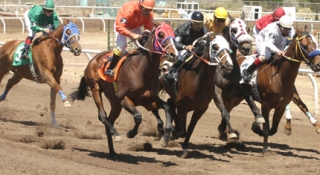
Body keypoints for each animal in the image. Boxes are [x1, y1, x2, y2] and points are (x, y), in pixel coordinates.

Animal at [69, 21, 179, 157]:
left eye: (173, 34)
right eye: (161, 34)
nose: (174, 54)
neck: (142, 70)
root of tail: (93, 60)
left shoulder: (149, 100)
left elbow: (167, 107)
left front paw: (165, 136)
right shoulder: (124, 99)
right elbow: (138, 117)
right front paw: (131, 133)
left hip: (115, 104)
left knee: (109, 120)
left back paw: (112, 151)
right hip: (95, 89)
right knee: (102, 116)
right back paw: (116, 134)